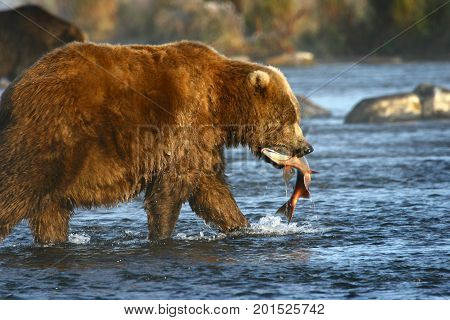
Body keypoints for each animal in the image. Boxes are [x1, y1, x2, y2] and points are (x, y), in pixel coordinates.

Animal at [0, 41, 312, 244]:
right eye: (288, 118)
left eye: (295, 114)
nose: (305, 147)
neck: (220, 105)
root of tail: (13, 91)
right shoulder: (186, 122)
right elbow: (171, 188)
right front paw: (161, 235)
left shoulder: (205, 140)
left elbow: (211, 189)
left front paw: (243, 226)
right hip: (51, 136)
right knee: (16, 188)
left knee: (50, 210)